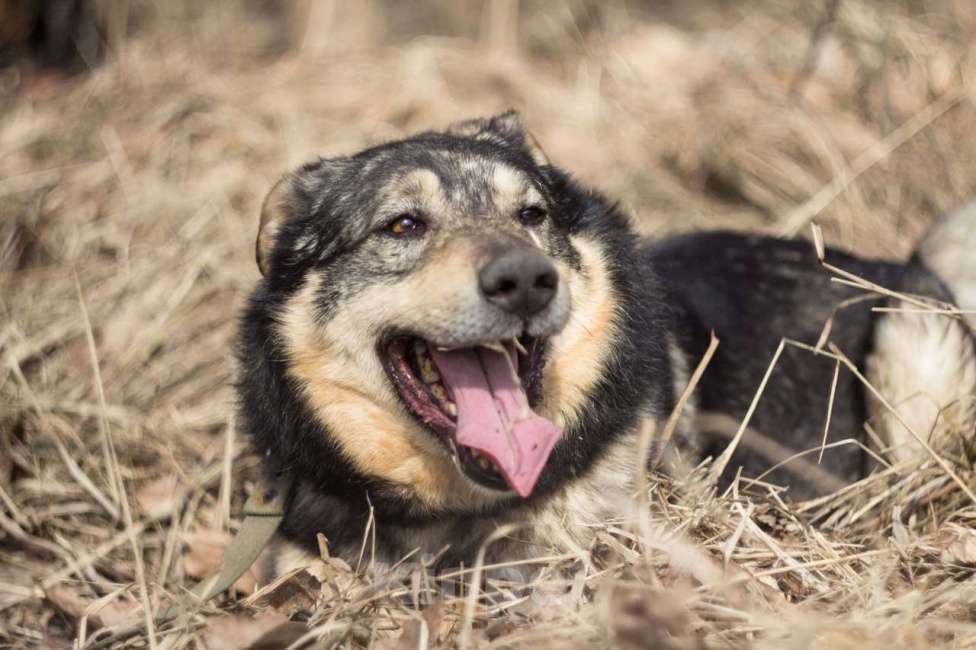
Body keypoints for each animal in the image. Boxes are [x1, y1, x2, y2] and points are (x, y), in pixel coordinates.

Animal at [236, 111, 976, 576]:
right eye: (402, 225)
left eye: (532, 214)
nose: (526, 280)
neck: (458, 511)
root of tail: (900, 263)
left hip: (915, 340)